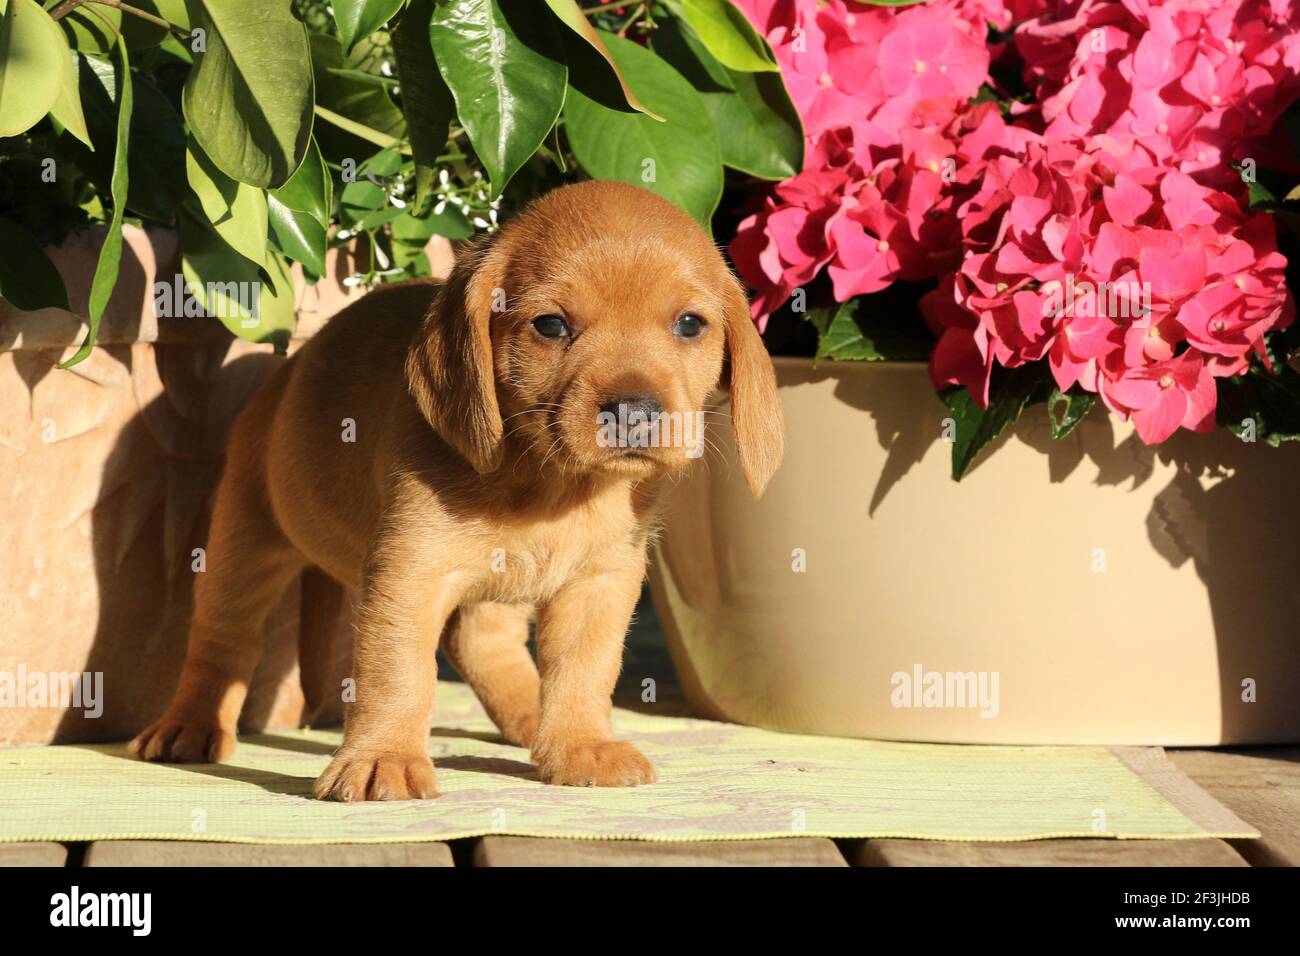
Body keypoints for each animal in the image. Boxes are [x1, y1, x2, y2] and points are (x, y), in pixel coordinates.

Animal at [129, 178, 780, 801]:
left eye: (690, 324)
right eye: (551, 326)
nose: (634, 412)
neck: (548, 483)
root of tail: (287, 368)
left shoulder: (599, 581)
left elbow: (583, 669)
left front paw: (580, 745)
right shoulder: (409, 574)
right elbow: (398, 673)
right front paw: (383, 757)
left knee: (483, 644)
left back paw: (532, 717)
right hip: (245, 541)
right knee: (222, 639)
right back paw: (188, 725)